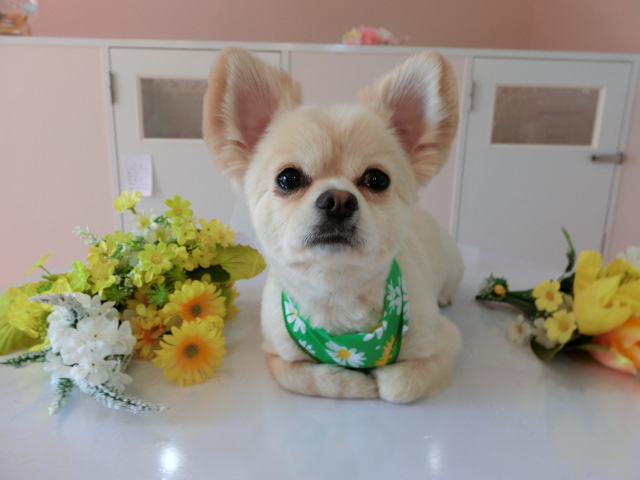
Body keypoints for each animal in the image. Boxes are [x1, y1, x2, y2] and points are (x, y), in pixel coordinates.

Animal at [203, 48, 463, 403]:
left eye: (377, 179)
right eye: (288, 178)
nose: (338, 200)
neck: (336, 296)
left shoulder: (445, 341)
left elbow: (399, 386)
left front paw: (378, 378)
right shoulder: (276, 353)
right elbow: (300, 377)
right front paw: (353, 383)